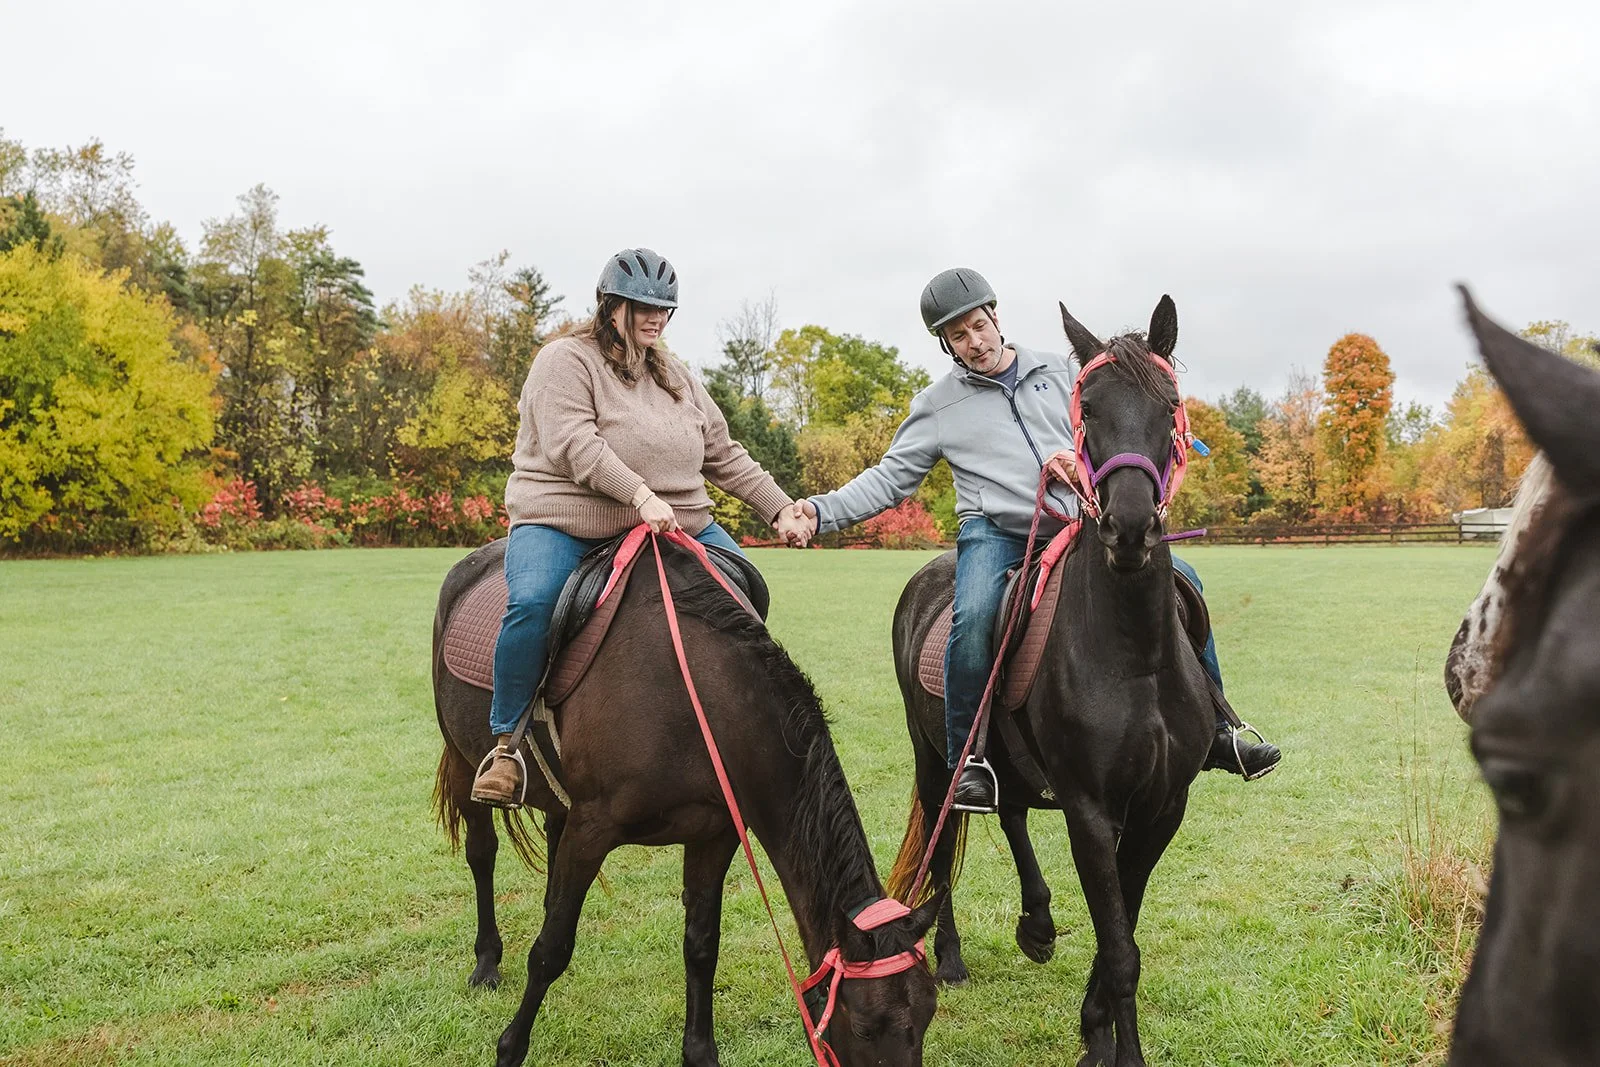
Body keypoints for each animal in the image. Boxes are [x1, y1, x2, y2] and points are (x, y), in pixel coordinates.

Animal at [432, 535, 940, 1067]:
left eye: (928, 1014)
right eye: (863, 1027)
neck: (694, 695)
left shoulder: (715, 833)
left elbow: (701, 945)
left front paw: (699, 1051)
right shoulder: (592, 829)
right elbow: (551, 949)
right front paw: (510, 1046)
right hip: (464, 760)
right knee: (482, 854)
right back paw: (486, 962)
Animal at [884, 296, 1215, 1067]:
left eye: (1170, 406)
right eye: (1088, 409)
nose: (1129, 528)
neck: (1133, 655)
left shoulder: (1161, 808)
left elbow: (1121, 932)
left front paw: (1094, 1031)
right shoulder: (1091, 810)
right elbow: (1120, 951)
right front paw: (1117, 1049)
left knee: (1008, 811)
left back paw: (1035, 921)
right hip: (935, 759)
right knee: (946, 845)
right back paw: (950, 958)